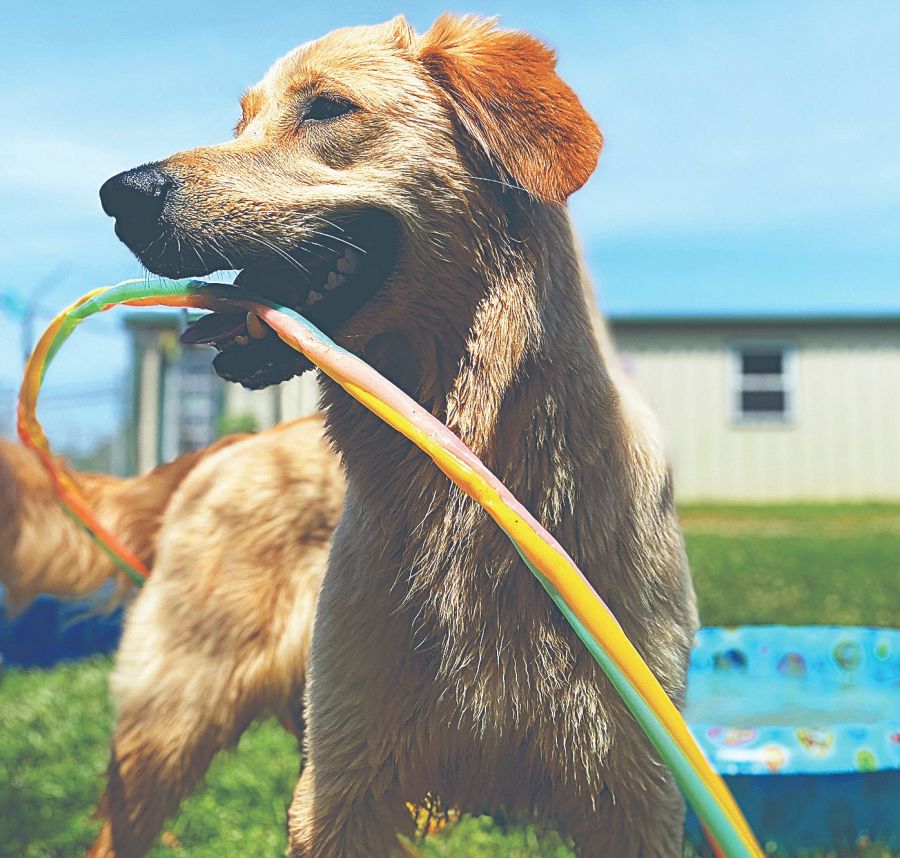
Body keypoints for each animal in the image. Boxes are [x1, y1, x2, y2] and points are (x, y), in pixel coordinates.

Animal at [102, 15, 700, 856]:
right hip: (171, 714)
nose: (120, 195)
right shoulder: (343, 786)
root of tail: (224, 450)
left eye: (327, 107)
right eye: (241, 122)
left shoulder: (633, 789)